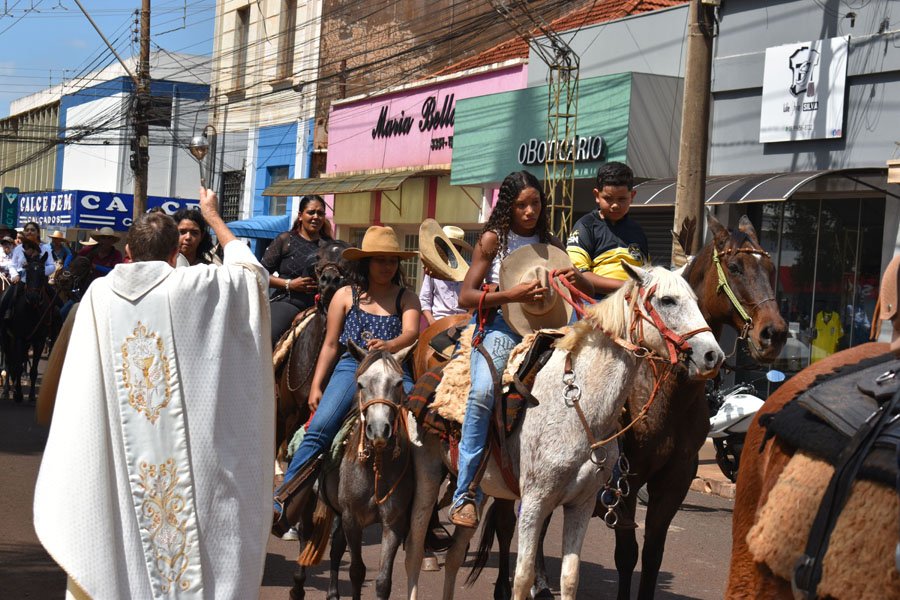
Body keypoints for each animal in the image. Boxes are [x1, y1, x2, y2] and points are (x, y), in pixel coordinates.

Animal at [1, 251, 57, 403]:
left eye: (42, 271)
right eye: (27, 271)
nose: (33, 297)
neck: (32, 309)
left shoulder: (39, 340)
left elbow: (33, 370)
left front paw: (31, 395)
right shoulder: (19, 338)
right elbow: (17, 367)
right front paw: (19, 394)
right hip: (7, 339)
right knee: (8, 362)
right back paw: (6, 391)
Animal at [290, 341, 415, 600]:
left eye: (398, 383)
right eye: (360, 383)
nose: (379, 430)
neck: (376, 465)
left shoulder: (393, 522)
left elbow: (383, 581)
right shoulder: (352, 519)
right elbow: (357, 571)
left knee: (336, 547)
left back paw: (332, 594)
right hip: (309, 500)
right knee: (306, 534)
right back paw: (297, 587)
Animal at [405, 263, 725, 600]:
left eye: (696, 301)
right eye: (667, 300)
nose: (713, 356)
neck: (577, 408)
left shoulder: (581, 504)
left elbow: (571, 577)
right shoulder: (534, 502)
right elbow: (523, 577)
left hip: (478, 487)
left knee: (455, 555)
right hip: (428, 475)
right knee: (415, 548)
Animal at [475, 213, 789, 599]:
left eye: (771, 268)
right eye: (735, 267)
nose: (773, 334)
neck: (667, 396)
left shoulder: (675, 479)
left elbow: (653, 553)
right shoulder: (625, 478)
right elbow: (627, 553)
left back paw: (542, 584)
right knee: (508, 523)